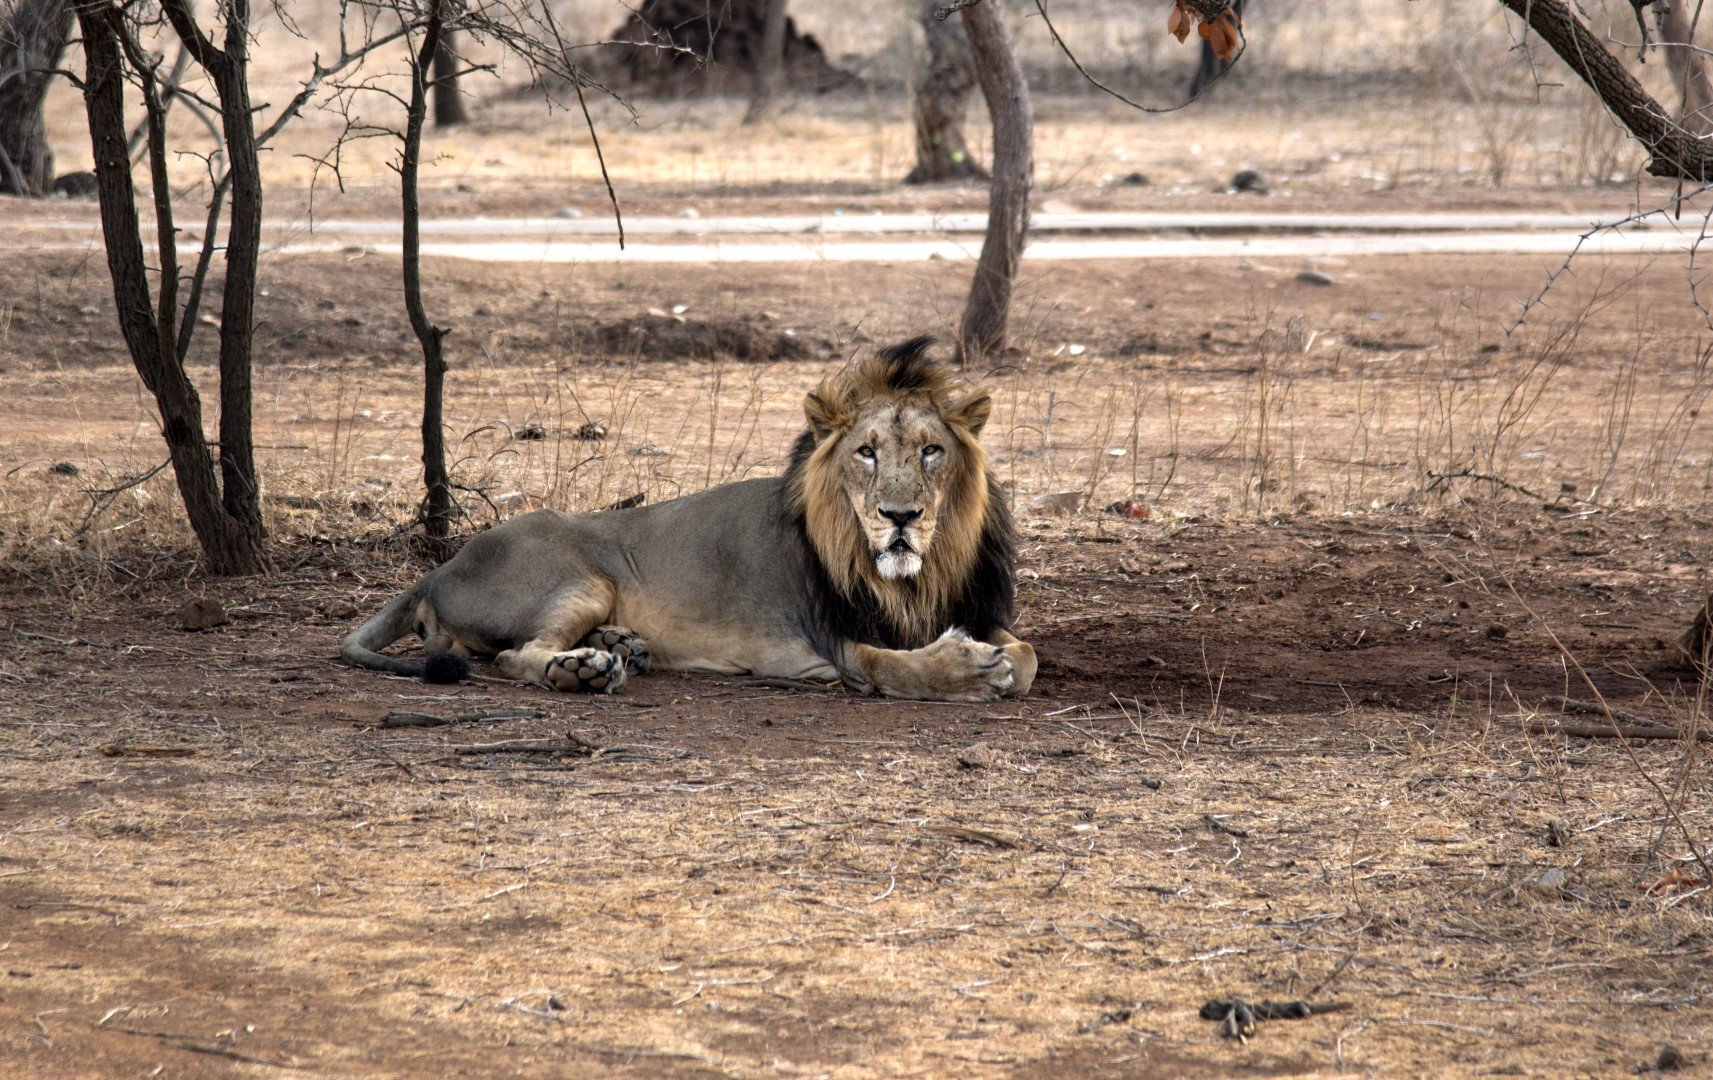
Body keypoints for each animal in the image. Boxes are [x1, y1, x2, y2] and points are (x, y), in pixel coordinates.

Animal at [340, 338, 1035, 702]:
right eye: (865, 452)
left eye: (930, 450)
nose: (901, 515)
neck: (912, 579)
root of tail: (437, 571)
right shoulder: (837, 643)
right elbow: (898, 667)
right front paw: (969, 670)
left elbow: (1027, 655)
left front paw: (1001, 661)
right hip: (580, 574)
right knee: (515, 656)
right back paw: (584, 669)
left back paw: (621, 647)